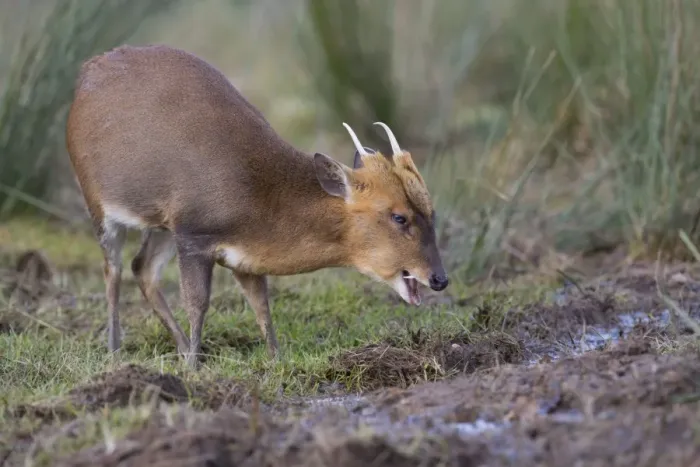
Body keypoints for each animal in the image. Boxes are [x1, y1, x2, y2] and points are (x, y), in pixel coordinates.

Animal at [65, 44, 449, 368]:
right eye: (398, 216)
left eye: (432, 213)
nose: (440, 279)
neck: (258, 196)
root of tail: (86, 72)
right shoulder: (194, 234)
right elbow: (198, 303)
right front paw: (194, 368)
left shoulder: (242, 256)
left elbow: (261, 304)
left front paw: (274, 359)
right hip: (99, 204)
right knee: (113, 270)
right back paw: (116, 351)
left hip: (161, 223)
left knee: (141, 267)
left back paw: (178, 348)